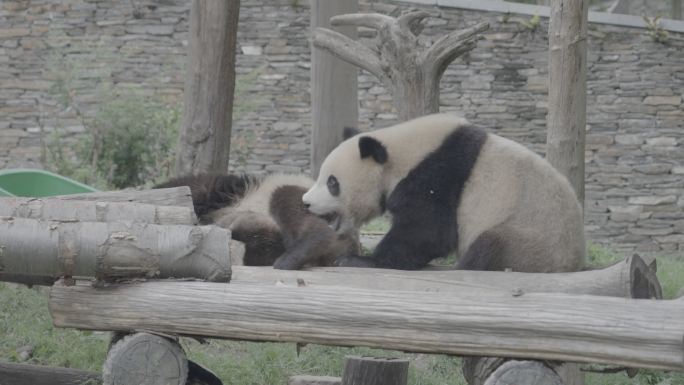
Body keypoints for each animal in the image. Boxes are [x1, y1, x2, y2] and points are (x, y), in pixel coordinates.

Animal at [302, 112, 584, 272]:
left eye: (332, 183)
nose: (305, 202)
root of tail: (570, 265)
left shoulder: (438, 174)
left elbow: (428, 231)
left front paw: (359, 261)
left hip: (529, 243)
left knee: (490, 245)